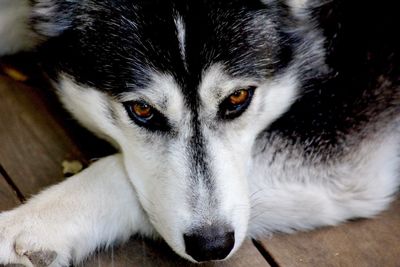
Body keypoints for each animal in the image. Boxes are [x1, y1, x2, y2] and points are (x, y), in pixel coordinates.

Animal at [0, 0, 400, 266]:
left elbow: (113, 171)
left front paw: (32, 224)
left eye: (238, 97)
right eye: (142, 110)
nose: (212, 245)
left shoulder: (347, 138)